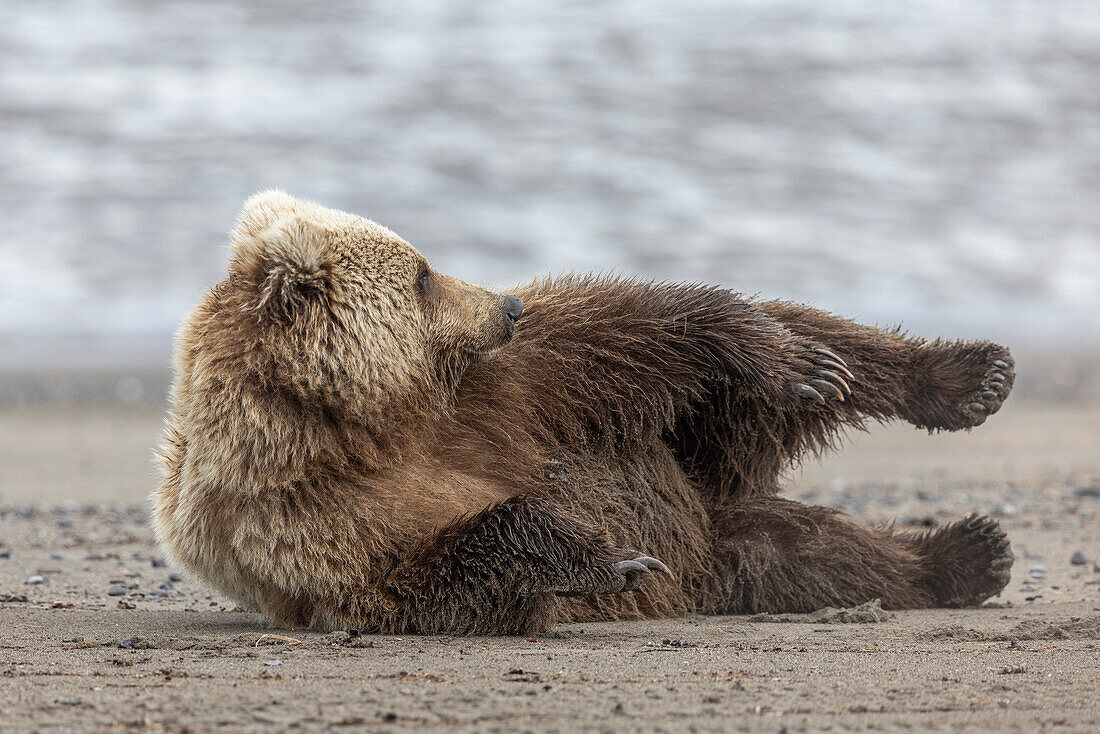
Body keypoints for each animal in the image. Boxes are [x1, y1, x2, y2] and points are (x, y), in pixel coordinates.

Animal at [150, 192, 1016, 633]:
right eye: (423, 275)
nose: (506, 305)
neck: (366, 419)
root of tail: (709, 509)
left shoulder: (497, 394)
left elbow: (618, 338)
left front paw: (789, 362)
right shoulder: (307, 522)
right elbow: (434, 575)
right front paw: (608, 558)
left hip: (695, 448)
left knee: (801, 338)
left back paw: (961, 379)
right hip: (722, 542)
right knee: (809, 558)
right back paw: (967, 554)